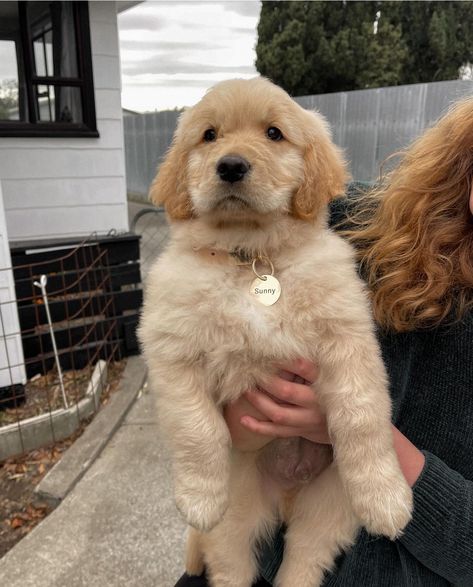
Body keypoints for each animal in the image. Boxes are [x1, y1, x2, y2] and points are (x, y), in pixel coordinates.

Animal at [138, 79, 412, 587]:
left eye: (273, 133)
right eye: (209, 136)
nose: (230, 166)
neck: (252, 258)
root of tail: (285, 497)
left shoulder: (348, 338)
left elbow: (361, 417)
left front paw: (388, 500)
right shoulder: (173, 351)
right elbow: (197, 429)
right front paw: (198, 498)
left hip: (327, 508)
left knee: (303, 558)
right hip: (236, 520)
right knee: (232, 566)